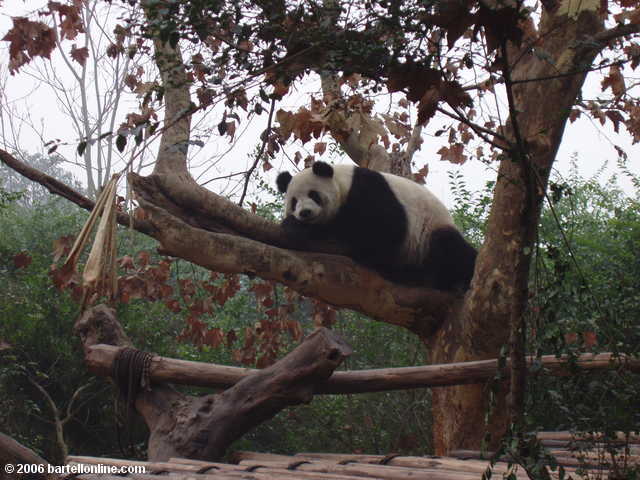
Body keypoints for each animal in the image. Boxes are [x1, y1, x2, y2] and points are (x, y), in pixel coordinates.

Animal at [276, 161, 476, 290]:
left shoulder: (368, 191)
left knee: (449, 246)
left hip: (430, 230)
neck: (343, 183)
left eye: (314, 195)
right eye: (294, 202)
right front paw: (293, 225)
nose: (304, 213)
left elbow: (386, 227)